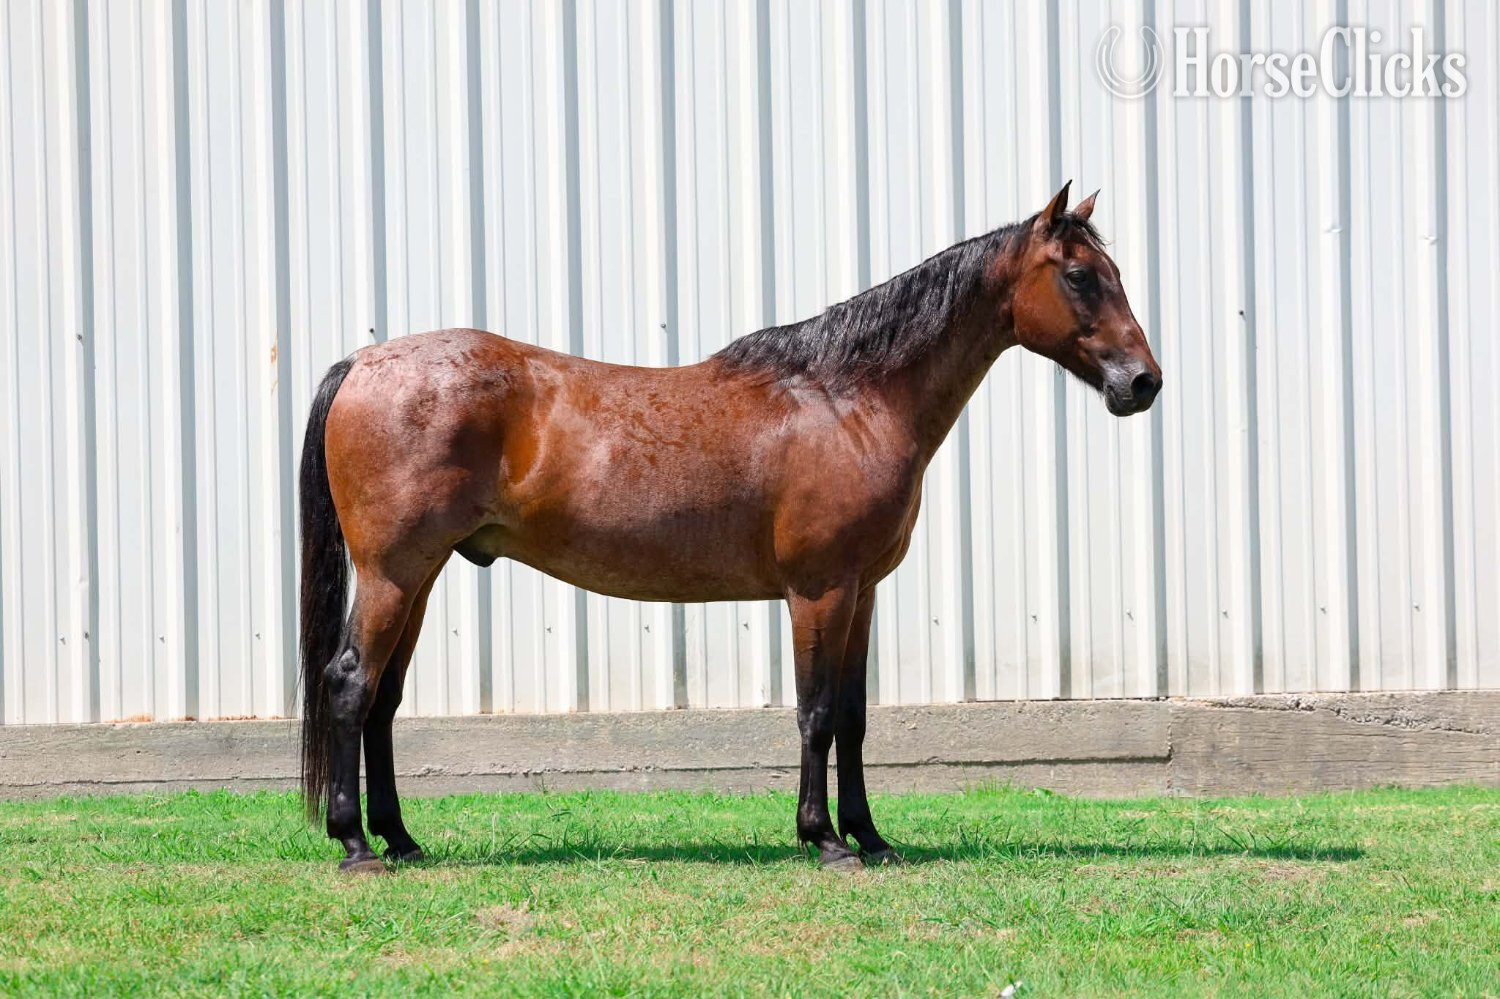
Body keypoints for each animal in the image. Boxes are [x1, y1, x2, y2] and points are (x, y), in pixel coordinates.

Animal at [298, 182, 1162, 874]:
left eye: (1117, 273)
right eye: (1081, 276)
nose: (1143, 383)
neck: (848, 398)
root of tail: (361, 364)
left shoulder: (862, 592)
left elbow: (853, 717)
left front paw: (872, 836)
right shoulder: (818, 590)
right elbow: (816, 712)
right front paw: (825, 840)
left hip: (420, 575)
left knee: (383, 699)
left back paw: (402, 839)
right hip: (393, 574)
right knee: (349, 683)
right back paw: (356, 845)